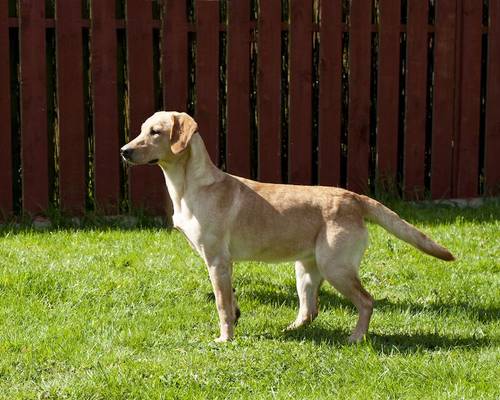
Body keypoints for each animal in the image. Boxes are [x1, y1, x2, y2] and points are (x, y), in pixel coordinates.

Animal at [120, 111, 454, 342]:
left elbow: (221, 305)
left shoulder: (216, 260)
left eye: (155, 132)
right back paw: (290, 331)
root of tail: (354, 197)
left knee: (366, 302)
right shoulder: (223, 264)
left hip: (336, 268)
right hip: (305, 269)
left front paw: (225, 338)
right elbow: (231, 298)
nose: (124, 151)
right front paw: (237, 317)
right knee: (310, 311)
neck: (190, 185)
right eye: (141, 130)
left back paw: (356, 337)